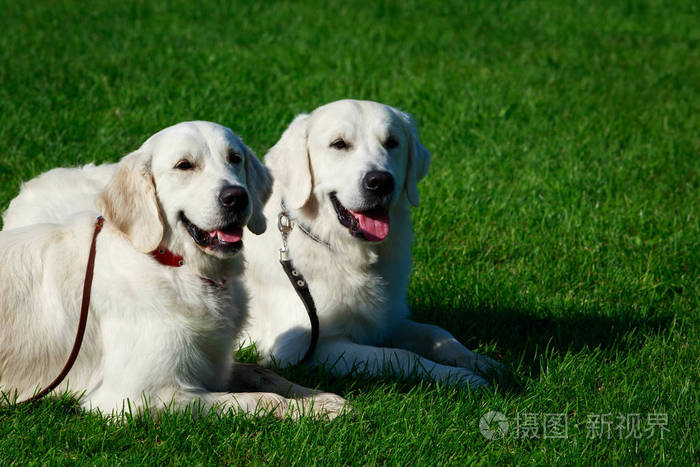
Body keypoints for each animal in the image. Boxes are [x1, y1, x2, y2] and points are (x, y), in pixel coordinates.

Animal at [0, 122, 344, 418]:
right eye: (184, 166)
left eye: (234, 159)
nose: (236, 197)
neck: (175, 267)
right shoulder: (135, 397)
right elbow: (260, 400)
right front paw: (306, 410)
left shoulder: (214, 362)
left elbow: (264, 373)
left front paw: (320, 399)